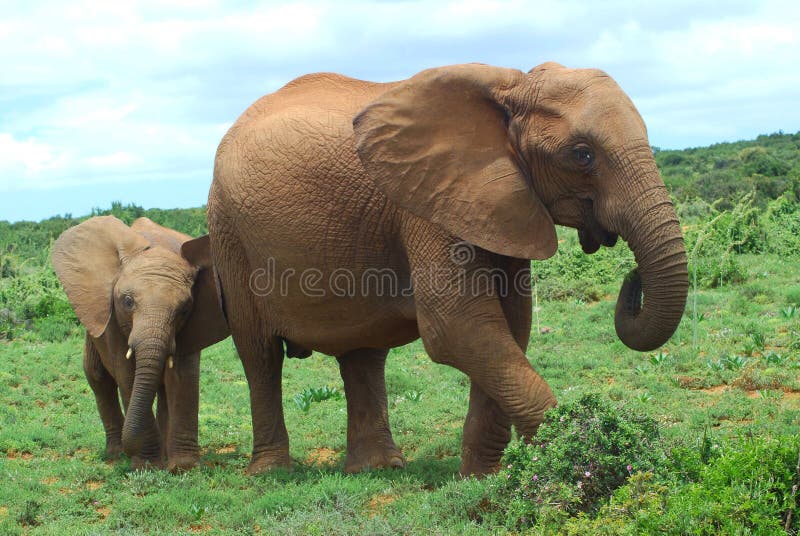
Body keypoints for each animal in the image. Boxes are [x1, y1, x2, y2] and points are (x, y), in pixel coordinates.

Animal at [52, 216, 228, 472]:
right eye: (127, 302)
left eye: (184, 309)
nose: (130, 450)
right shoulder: (112, 317)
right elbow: (126, 374)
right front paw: (146, 465)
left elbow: (182, 376)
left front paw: (183, 467)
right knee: (98, 378)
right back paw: (116, 454)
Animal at [209, 62, 692, 478]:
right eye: (582, 154)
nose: (632, 276)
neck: (512, 88)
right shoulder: (427, 204)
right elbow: (458, 327)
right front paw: (575, 461)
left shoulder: (500, 204)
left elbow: (508, 326)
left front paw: (481, 477)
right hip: (228, 231)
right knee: (260, 354)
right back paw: (272, 472)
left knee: (364, 353)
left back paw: (378, 469)